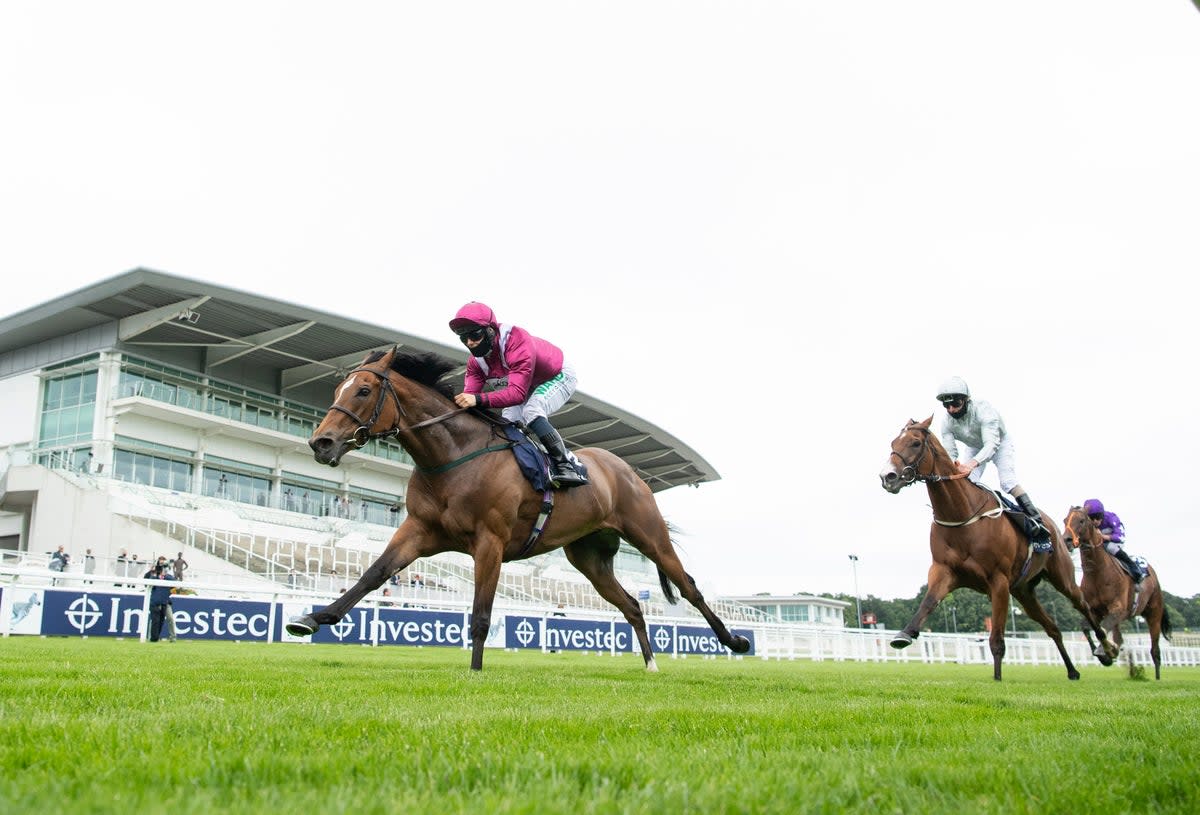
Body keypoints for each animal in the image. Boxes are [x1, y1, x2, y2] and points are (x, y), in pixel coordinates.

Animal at [283, 348, 748, 672]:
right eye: (336, 392)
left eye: (363, 391)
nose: (320, 443)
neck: (453, 456)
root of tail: (627, 471)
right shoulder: (418, 530)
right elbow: (374, 573)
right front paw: (313, 618)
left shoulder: (490, 542)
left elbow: (481, 613)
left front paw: (474, 671)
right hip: (590, 558)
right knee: (632, 604)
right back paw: (650, 664)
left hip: (649, 535)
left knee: (690, 588)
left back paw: (735, 643)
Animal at [1060, 506, 1171, 676]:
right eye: (1065, 520)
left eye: (1082, 520)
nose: (1066, 540)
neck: (1097, 573)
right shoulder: (1095, 610)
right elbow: (1087, 628)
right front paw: (1107, 654)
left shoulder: (1117, 608)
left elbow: (1103, 629)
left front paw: (1106, 651)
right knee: (1119, 637)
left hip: (1154, 614)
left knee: (1155, 650)